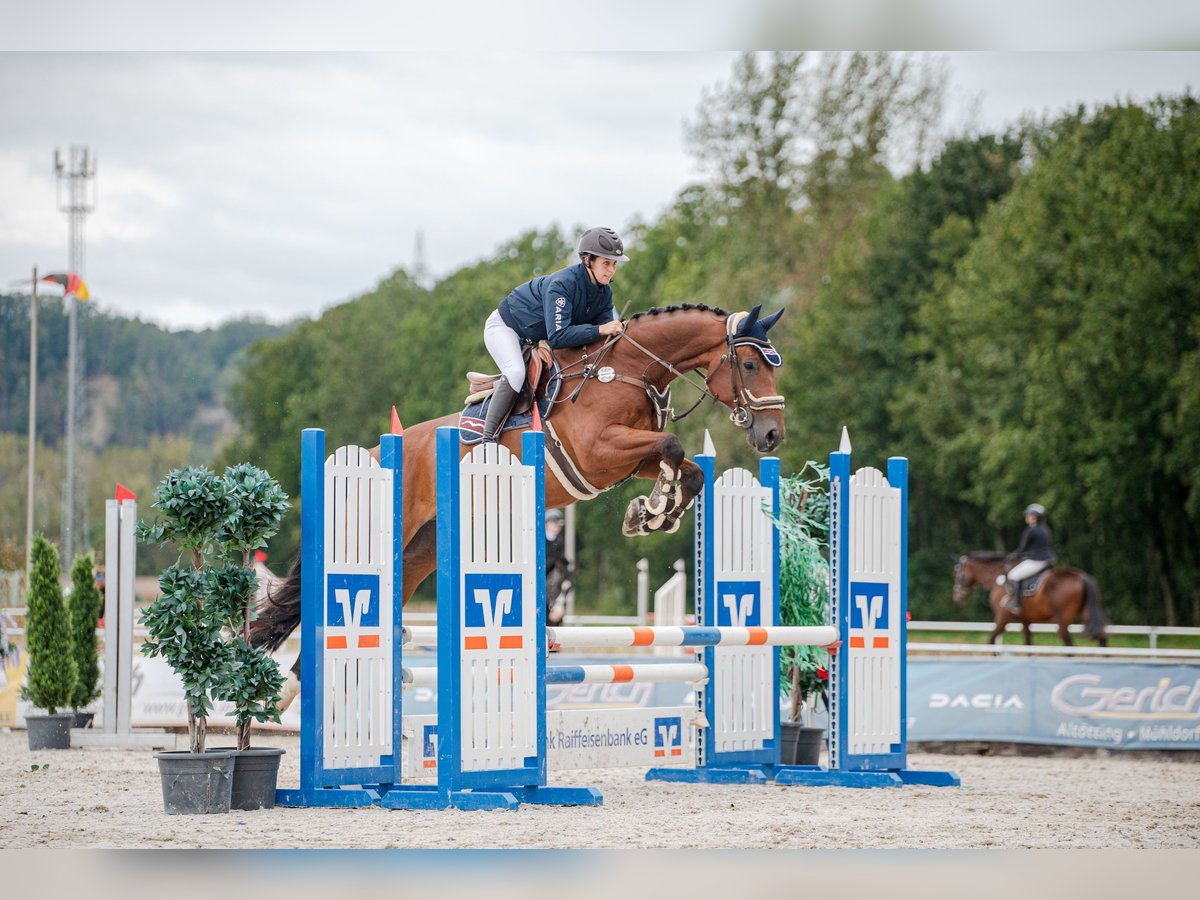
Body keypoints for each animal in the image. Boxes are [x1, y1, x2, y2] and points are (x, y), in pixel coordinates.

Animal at [248, 303, 787, 705]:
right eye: (750, 365)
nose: (772, 435)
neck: (628, 372)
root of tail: (375, 454)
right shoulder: (600, 453)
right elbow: (673, 445)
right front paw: (652, 511)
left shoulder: (629, 459)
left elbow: (689, 469)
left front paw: (653, 513)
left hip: (420, 550)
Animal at [950, 549, 1108, 648]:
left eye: (957, 574)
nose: (957, 598)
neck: (999, 577)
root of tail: (1082, 576)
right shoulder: (1025, 621)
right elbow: (1028, 644)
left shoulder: (1002, 619)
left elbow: (991, 642)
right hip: (1087, 614)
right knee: (1102, 638)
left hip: (1062, 621)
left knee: (1070, 645)